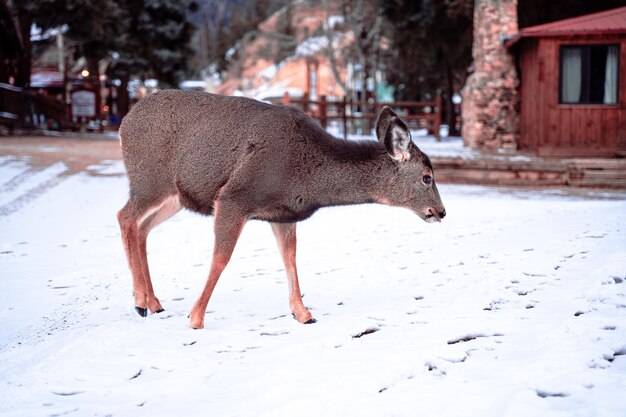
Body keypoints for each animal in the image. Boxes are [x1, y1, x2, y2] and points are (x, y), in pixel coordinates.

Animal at [117, 91, 444, 328]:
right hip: (150, 179)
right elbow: (222, 257)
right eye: (427, 177)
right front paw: (196, 317)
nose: (441, 212)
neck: (307, 175)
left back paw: (153, 302)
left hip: (174, 197)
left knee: (142, 227)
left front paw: (303, 313)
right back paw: (139, 301)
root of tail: (123, 123)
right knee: (125, 217)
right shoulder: (234, 197)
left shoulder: (284, 213)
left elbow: (290, 256)